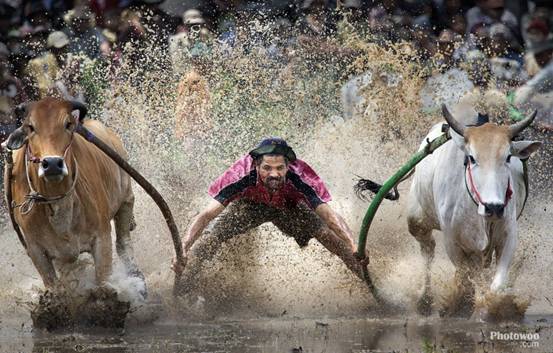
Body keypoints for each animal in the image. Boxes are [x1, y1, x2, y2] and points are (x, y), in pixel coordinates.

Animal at [3, 97, 144, 292]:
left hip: (126, 200)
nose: (52, 164)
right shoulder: (36, 251)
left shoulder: (102, 237)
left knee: (123, 243)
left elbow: (103, 280)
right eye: (30, 127)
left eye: (68, 124)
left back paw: (137, 279)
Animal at [408, 103, 540, 314]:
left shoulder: (508, 236)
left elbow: (495, 284)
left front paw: (494, 306)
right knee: (427, 251)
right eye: (471, 158)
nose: (493, 207)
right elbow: (467, 276)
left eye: (508, 157)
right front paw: (458, 305)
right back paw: (424, 299)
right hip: (416, 221)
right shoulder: (452, 242)